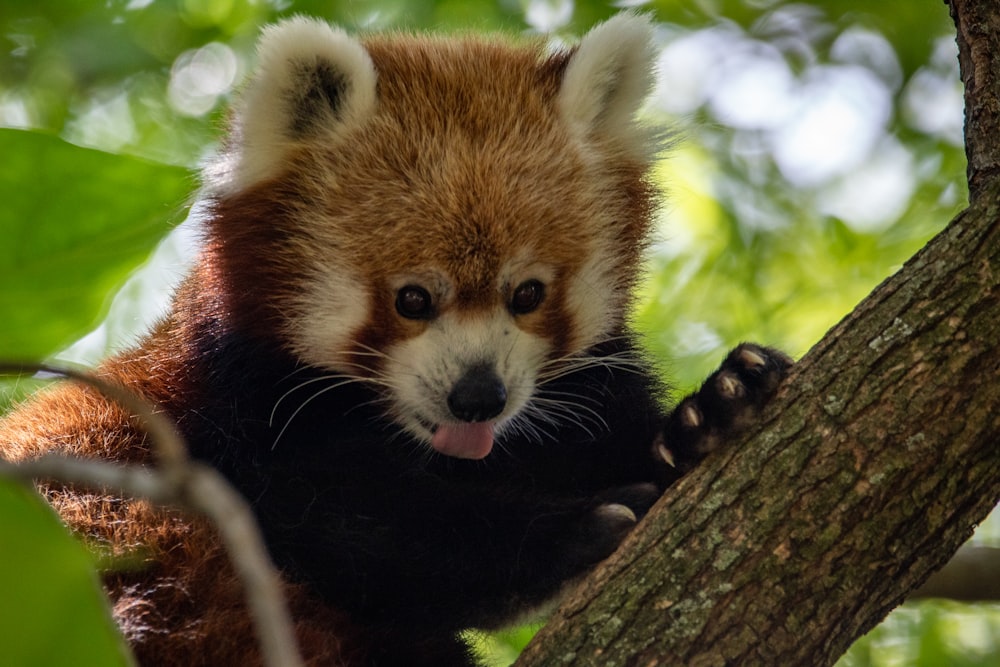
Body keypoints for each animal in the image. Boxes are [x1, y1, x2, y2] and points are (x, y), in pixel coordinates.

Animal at [1, 11, 788, 667]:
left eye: (527, 293)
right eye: (413, 299)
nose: (478, 397)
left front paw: (712, 406)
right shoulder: (233, 424)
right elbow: (364, 530)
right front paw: (565, 534)